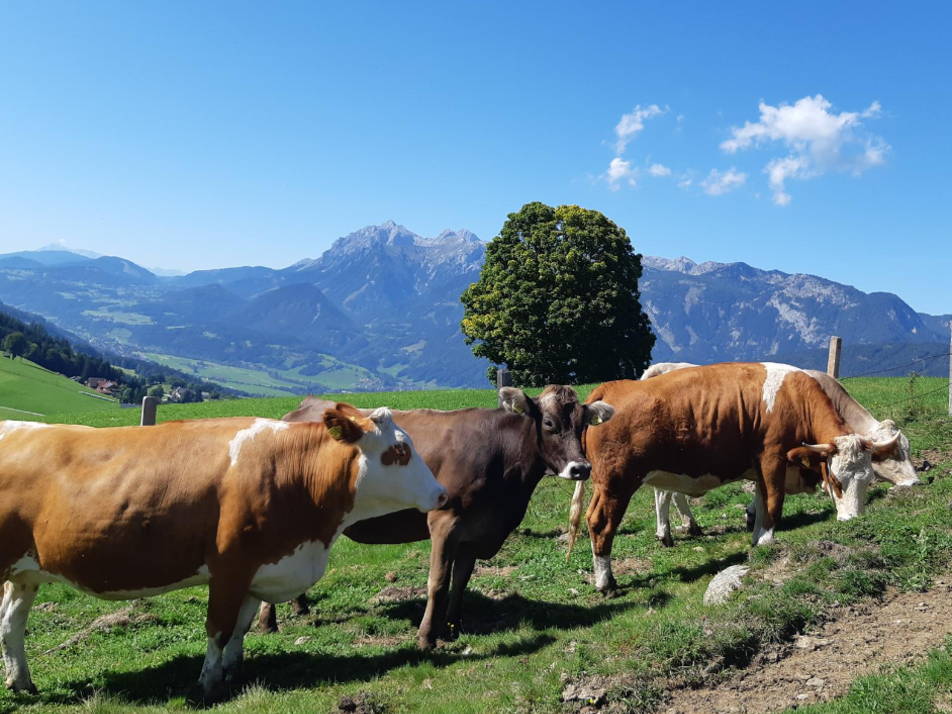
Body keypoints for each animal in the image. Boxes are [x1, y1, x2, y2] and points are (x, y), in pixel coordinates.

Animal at [256, 386, 612, 648]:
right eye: (549, 423)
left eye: (583, 425)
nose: (581, 468)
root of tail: (304, 406)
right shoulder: (444, 520)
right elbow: (437, 582)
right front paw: (427, 637)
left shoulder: (475, 530)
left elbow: (461, 581)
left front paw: (452, 627)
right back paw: (267, 622)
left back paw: (299, 605)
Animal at [644, 362, 920, 544]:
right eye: (892, 453)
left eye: (868, 478)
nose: (915, 482)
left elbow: (762, 493)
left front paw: (753, 517)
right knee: (663, 494)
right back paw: (666, 532)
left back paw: (688, 526)